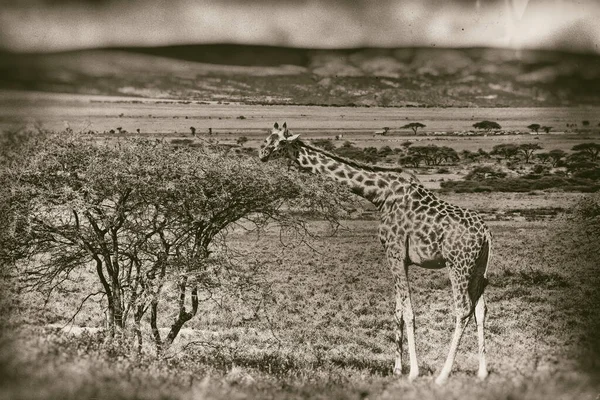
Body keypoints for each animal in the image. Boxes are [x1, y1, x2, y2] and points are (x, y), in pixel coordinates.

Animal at [262, 122, 492, 384]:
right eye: (267, 138)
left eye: (281, 142)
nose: (262, 154)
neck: (379, 195)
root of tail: (486, 233)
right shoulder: (400, 258)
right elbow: (398, 310)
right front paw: (397, 368)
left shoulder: (394, 252)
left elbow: (409, 312)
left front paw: (413, 372)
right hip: (478, 267)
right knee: (481, 309)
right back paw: (482, 372)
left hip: (458, 265)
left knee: (463, 309)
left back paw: (443, 374)